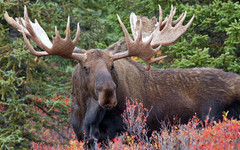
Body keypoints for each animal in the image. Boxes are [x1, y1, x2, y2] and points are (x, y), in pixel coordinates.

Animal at [4, 5, 240, 142]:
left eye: (112, 66)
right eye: (85, 67)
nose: (108, 92)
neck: (89, 118)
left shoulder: (128, 133)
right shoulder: (82, 138)